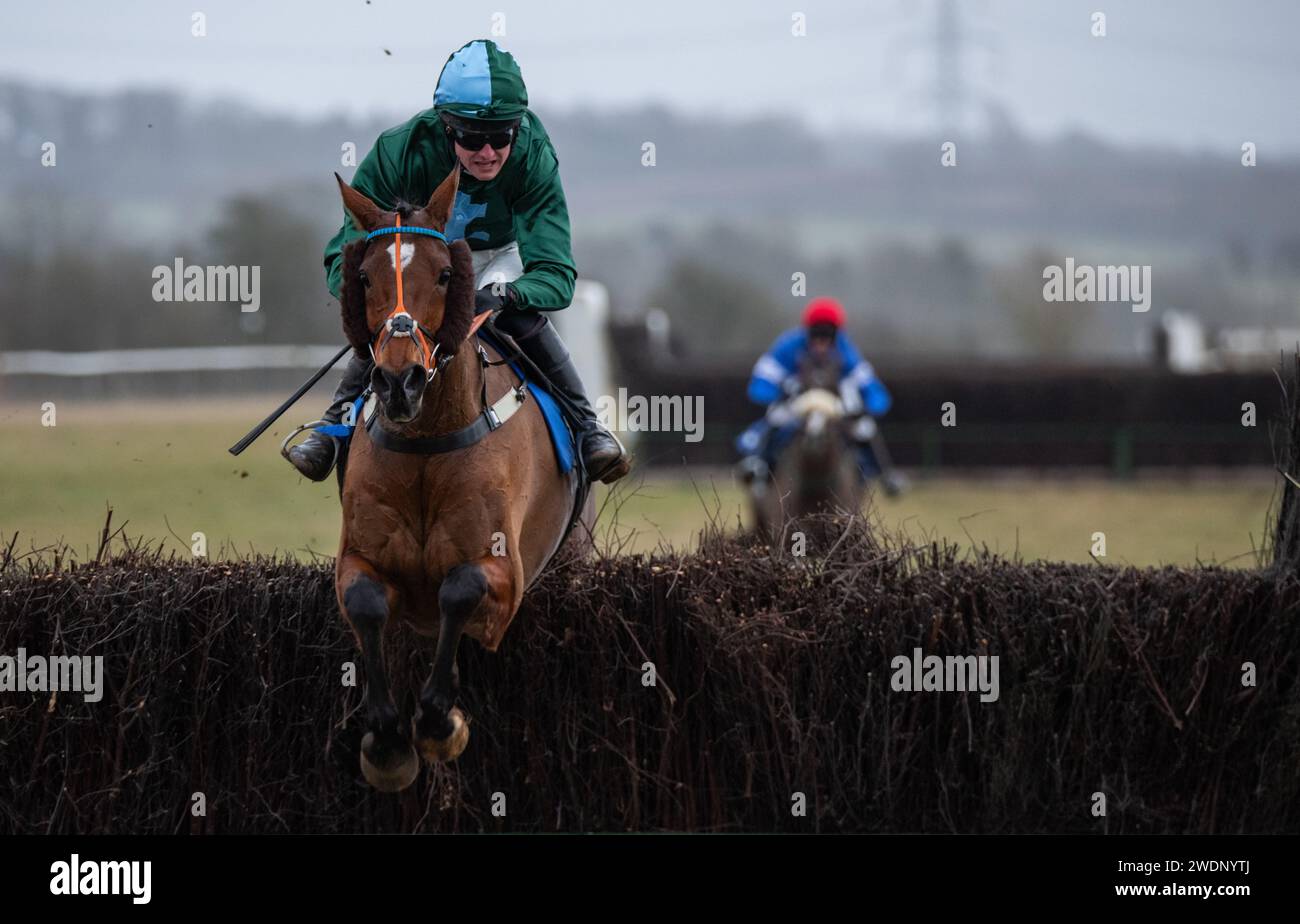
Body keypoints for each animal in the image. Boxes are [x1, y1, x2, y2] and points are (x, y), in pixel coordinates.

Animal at [335, 166, 579, 790]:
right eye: (364, 278)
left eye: (446, 274)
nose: (399, 383)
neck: (428, 439)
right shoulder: (357, 557)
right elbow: (367, 601)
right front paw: (387, 740)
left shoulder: (506, 574)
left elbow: (458, 588)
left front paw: (439, 720)